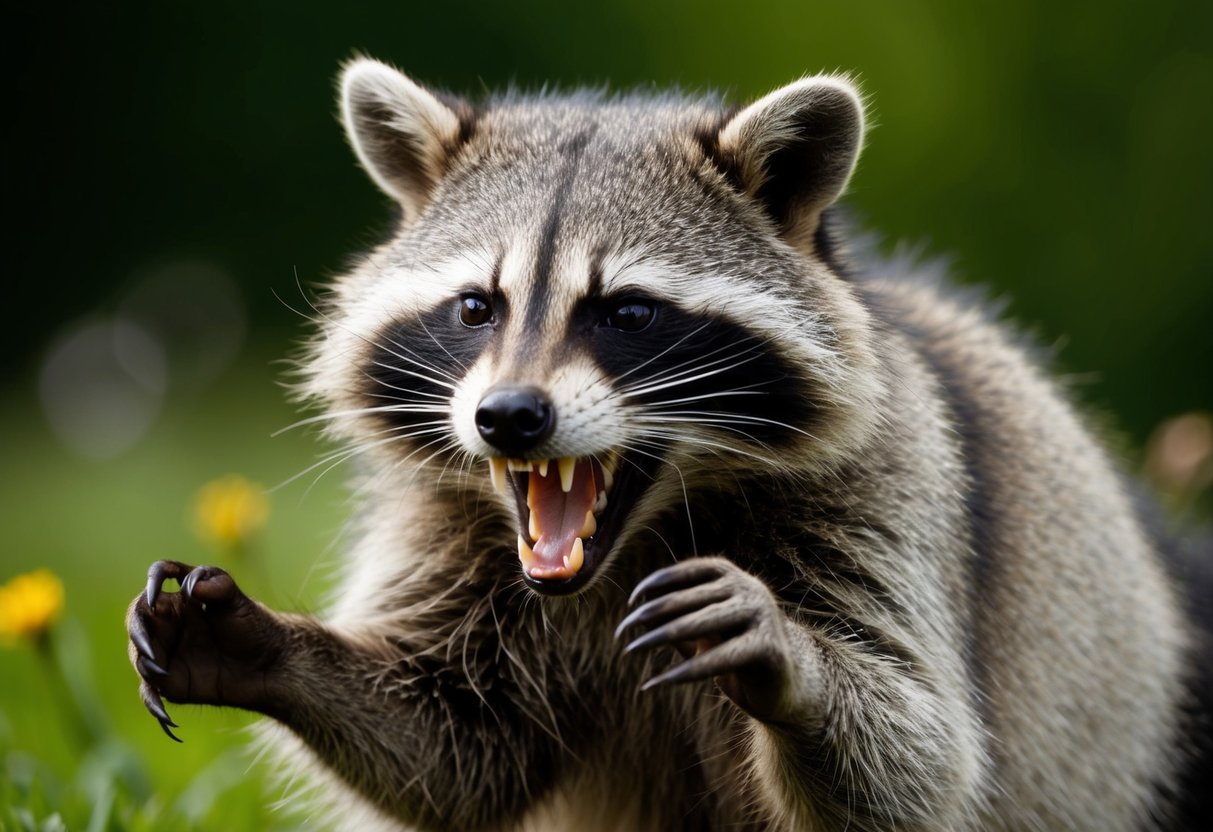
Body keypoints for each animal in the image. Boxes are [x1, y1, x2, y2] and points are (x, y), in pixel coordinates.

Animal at [126, 58, 1211, 831]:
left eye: (627, 312)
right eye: (476, 307)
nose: (508, 417)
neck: (630, 537)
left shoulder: (889, 491)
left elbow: (922, 760)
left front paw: (793, 663)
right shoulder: (446, 516)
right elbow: (457, 744)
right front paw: (269, 648)